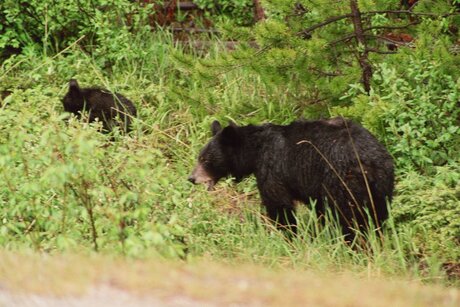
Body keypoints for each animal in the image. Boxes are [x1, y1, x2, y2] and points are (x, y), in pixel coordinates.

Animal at [189, 118, 394, 241]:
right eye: (199, 156)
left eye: (205, 159)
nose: (191, 178)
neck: (254, 152)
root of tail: (370, 163)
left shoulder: (273, 168)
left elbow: (278, 203)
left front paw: (287, 234)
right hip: (382, 186)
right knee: (378, 216)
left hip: (342, 181)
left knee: (348, 218)